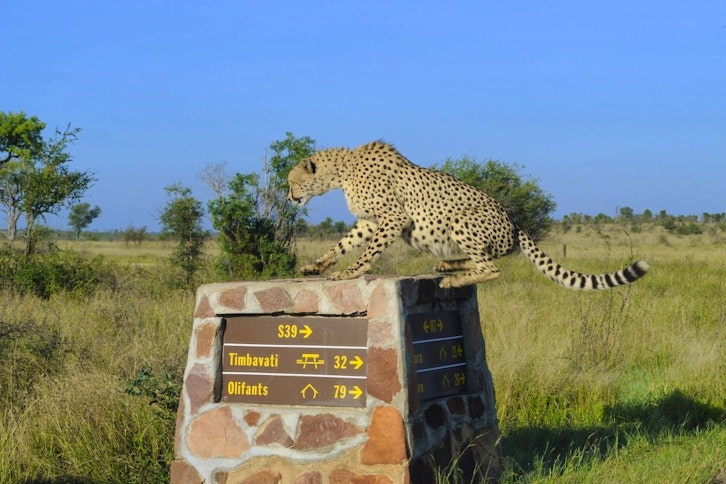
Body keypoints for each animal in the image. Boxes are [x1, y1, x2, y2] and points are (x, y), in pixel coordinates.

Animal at [287, 141, 649, 289]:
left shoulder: (393, 218)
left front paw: (349, 273)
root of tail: (513, 221)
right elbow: (342, 244)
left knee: (491, 268)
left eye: (292, 181)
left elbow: (367, 252)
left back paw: (452, 279)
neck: (342, 171)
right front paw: (315, 266)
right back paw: (447, 265)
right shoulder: (370, 221)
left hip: (462, 220)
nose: (290, 197)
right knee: (484, 260)